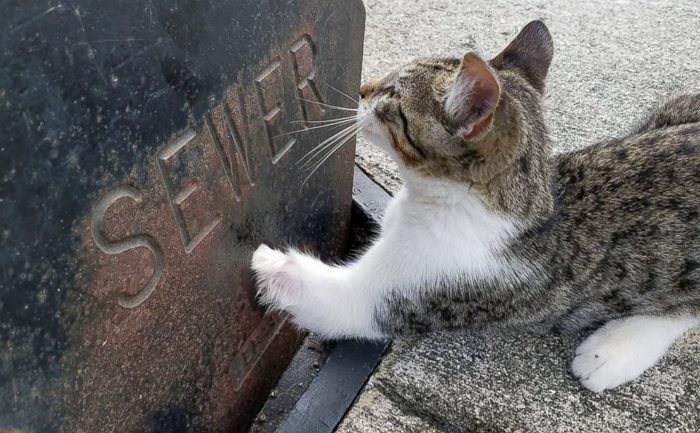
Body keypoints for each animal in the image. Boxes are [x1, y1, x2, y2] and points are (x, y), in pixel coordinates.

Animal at [252, 20, 700, 392]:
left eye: (393, 96)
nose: (362, 88)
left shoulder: (414, 290)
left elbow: (330, 299)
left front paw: (268, 261)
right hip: (679, 107)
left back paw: (613, 351)